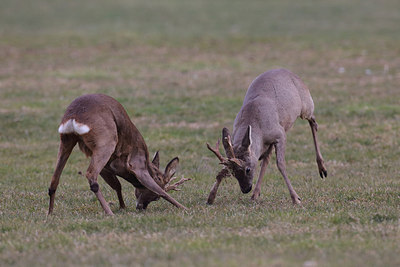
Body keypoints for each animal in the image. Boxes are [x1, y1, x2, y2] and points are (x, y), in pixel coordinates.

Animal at [48, 94, 189, 216]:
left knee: (55, 179)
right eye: (156, 198)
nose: (141, 207)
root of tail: (74, 116)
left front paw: (122, 207)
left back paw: (50, 213)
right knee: (90, 174)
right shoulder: (137, 164)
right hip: (106, 140)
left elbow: (117, 185)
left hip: (66, 140)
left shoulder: (107, 168)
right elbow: (160, 190)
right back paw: (109, 213)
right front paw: (185, 208)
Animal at [208, 68, 326, 205]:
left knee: (313, 121)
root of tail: (291, 73)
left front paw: (296, 198)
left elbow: (280, 164)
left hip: (306, 106)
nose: (245, 189)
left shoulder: (280, 133)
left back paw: (322, 169)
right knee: (266, 159)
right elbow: (223, 171)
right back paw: (255, 193)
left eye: (247, 169)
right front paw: (211, 197)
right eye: (233, 172)